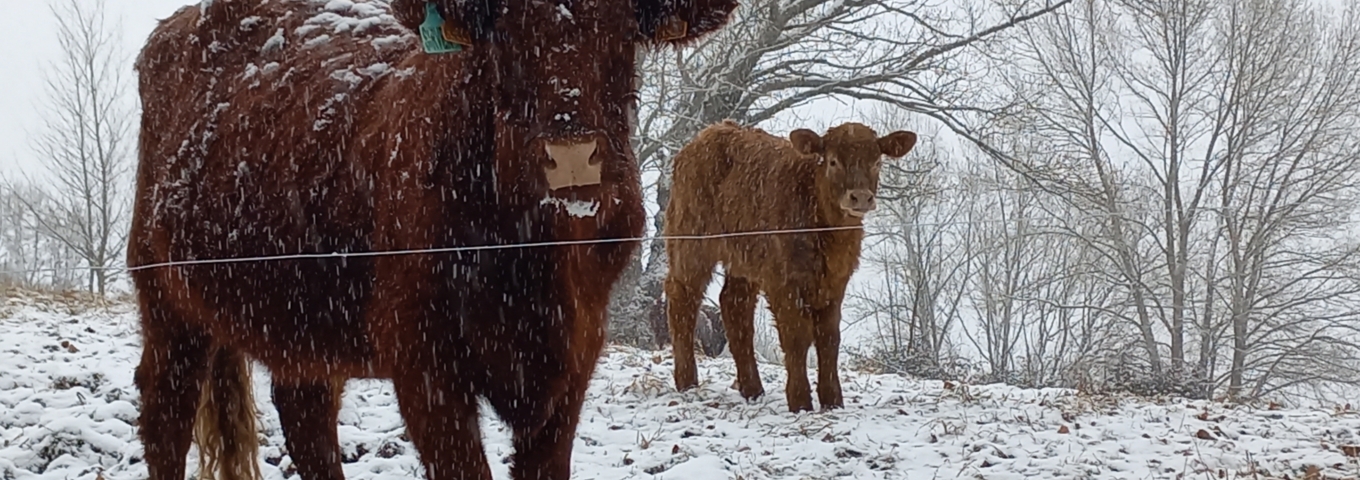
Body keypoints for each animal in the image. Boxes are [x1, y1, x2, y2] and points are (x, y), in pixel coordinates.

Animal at [129, 0, 734, 478]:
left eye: (623, 28)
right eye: (506, 29)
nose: (571, 157)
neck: (533, 255)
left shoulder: (573, 361)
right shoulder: (423, 362)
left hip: (302, 319)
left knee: (305, 415)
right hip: (164, 298)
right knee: (166, 412)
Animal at [660, 118, 913, 410]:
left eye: (877, 162)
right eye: (833, 161)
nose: (860, 197)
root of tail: (712, 131)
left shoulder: (836, 282)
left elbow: (829, 338)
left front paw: (832, 401)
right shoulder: (783, 282)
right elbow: (797, 337)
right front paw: (800, 401)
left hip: (744, 258)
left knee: (735, 306)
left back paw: (752, 389)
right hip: (691, 243)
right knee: (683, 297)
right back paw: (687, 381)